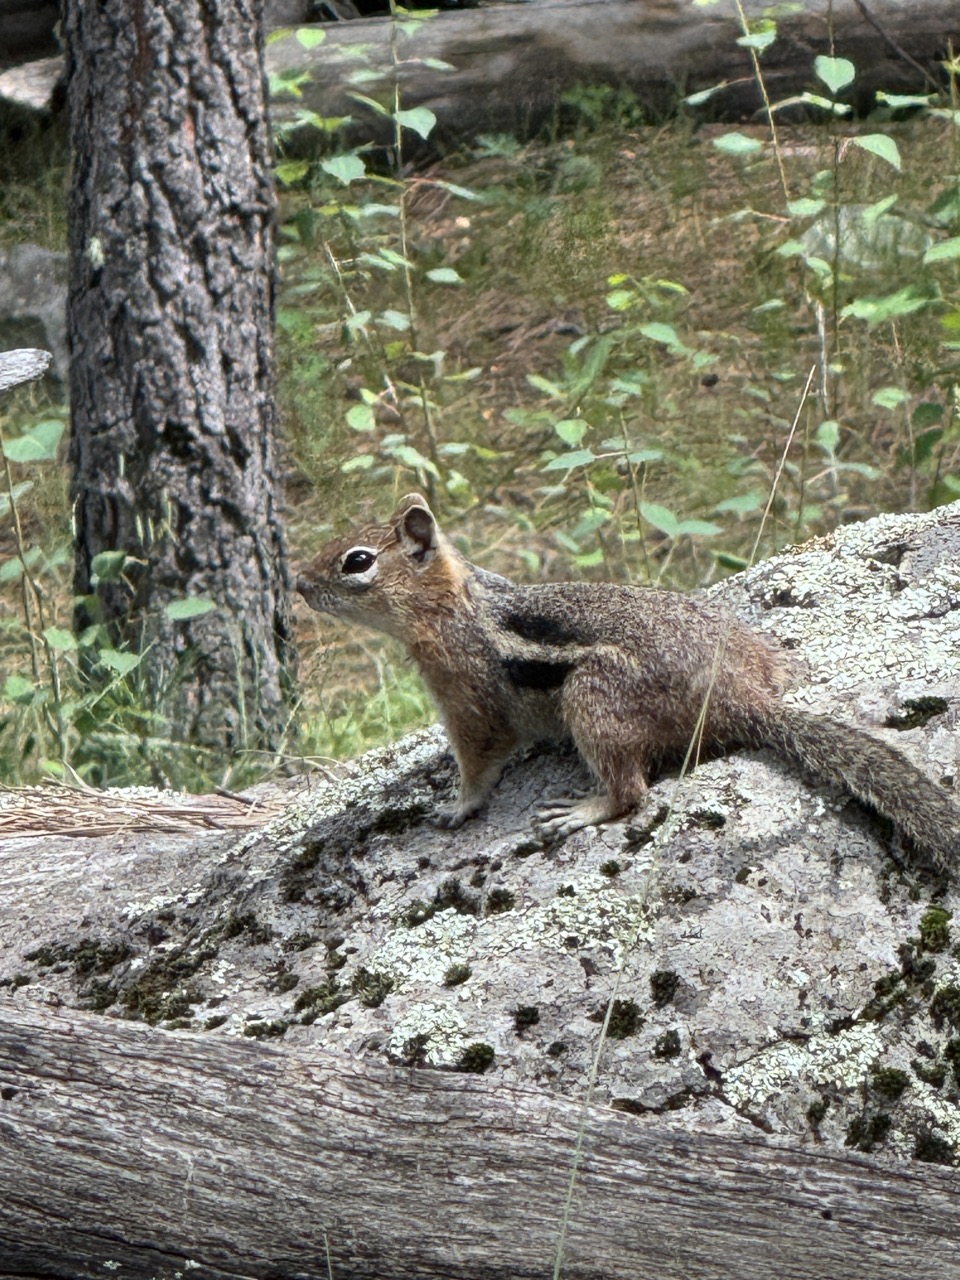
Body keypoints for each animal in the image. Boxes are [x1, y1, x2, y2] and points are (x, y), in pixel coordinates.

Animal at [297, 492, 959, 874]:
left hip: (593, 700)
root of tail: (737, 698)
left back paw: (583, 810)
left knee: (632, 792)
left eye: (356, 561)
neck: (453, 604)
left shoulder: (466, 693)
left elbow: (480, 760)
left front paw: (456, 807)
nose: (299, 584)